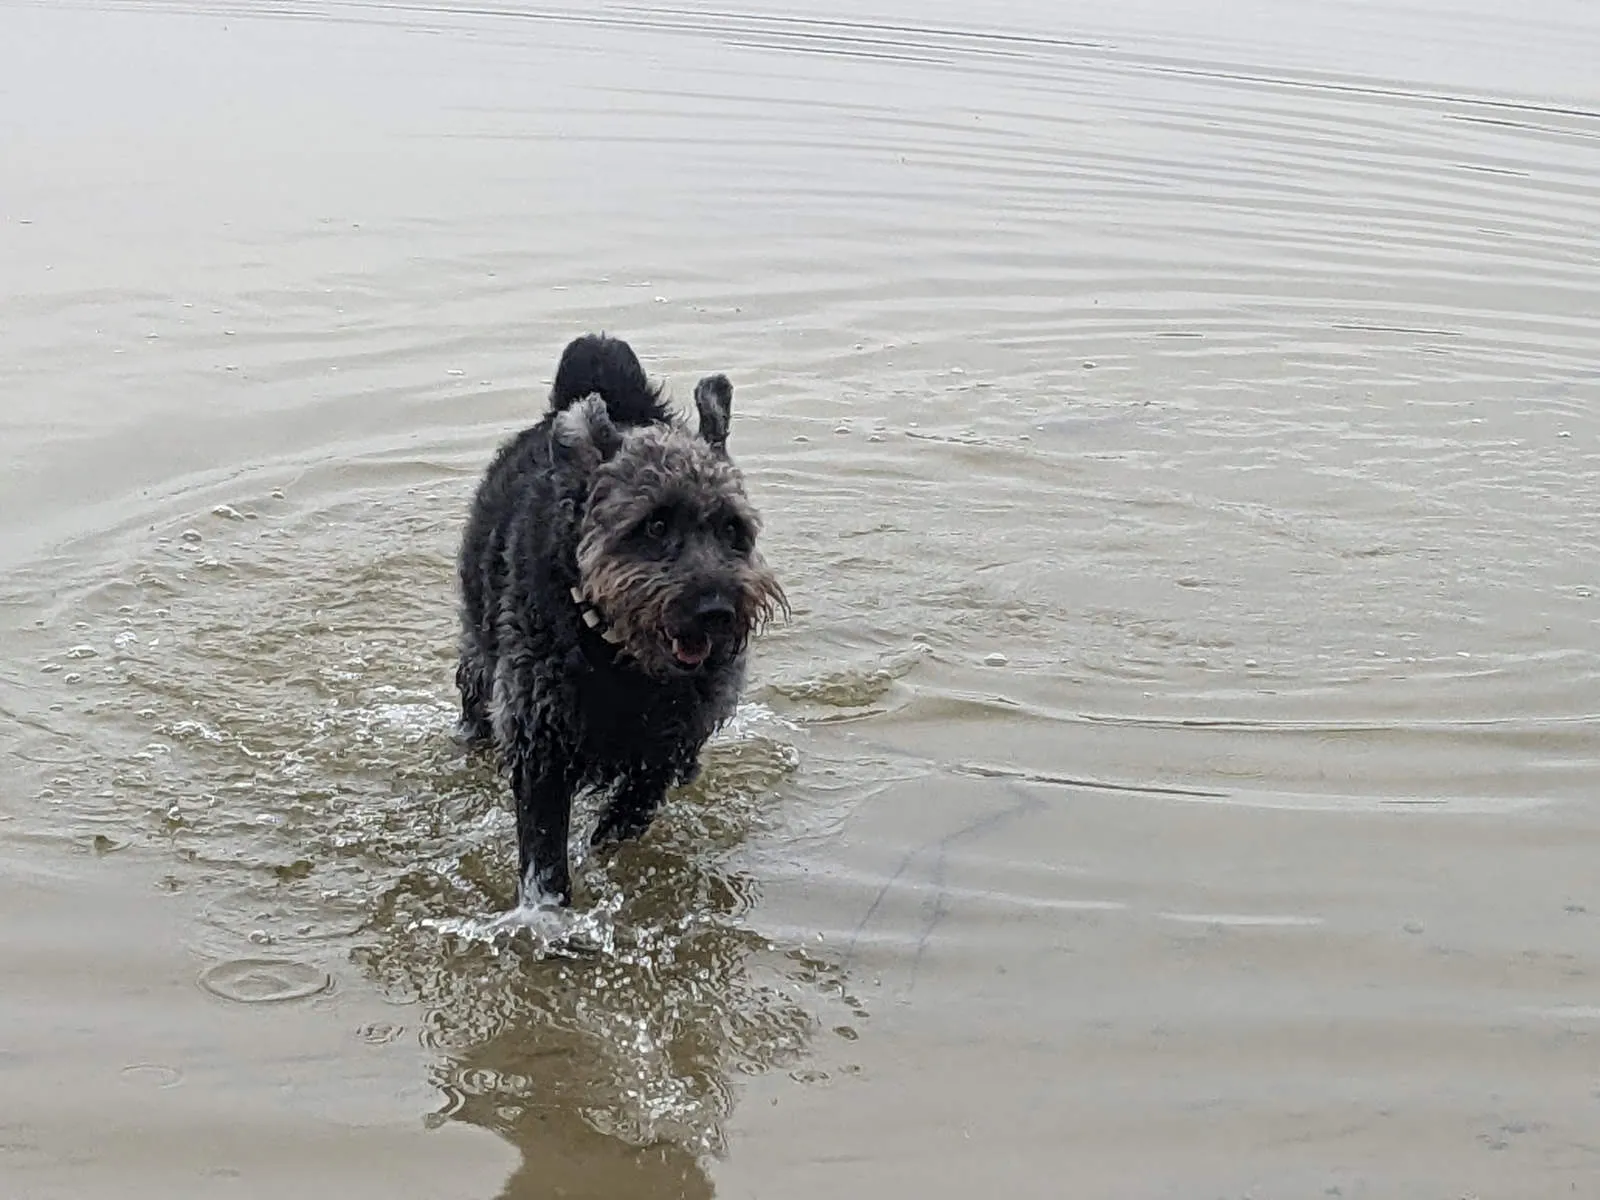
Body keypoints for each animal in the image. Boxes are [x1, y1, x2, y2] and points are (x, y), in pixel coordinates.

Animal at [454, 334, 784, 908]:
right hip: (479, 652)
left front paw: (610, 837)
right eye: (654, 524)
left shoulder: (678, 731)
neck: (615, 655)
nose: (716, 611)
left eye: (732, 529)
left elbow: (643, 791)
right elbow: (544, 846)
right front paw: (547, 911)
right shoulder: (538, 733)